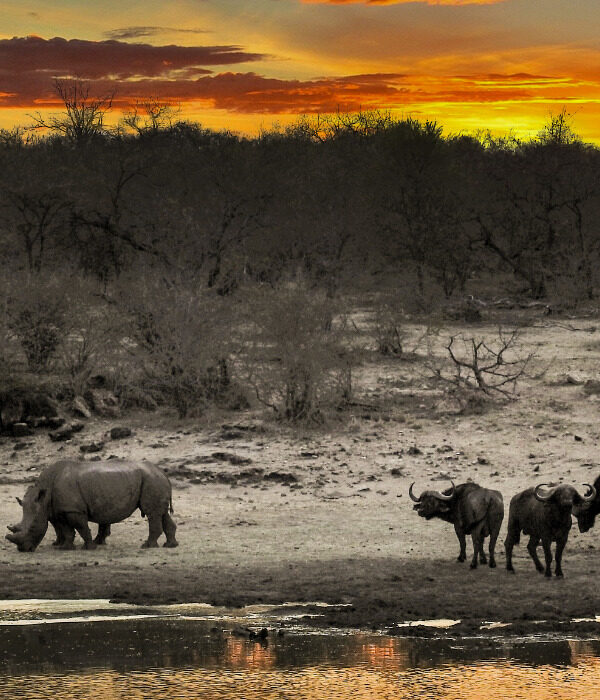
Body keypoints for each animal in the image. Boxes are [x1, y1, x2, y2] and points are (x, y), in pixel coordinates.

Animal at [6, 459, 178, 552]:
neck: (44, 495)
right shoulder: (60, 510)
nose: (23, 550)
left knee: (152, 513)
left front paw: (89, 547)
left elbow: (81, 527)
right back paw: (170, 545)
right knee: (161, 513)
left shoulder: (73, 510)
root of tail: (163, 473)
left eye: (33, 527)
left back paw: (147, 546)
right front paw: (64, 547)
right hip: (153, 480)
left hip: (151, 480)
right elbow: (65, 529)